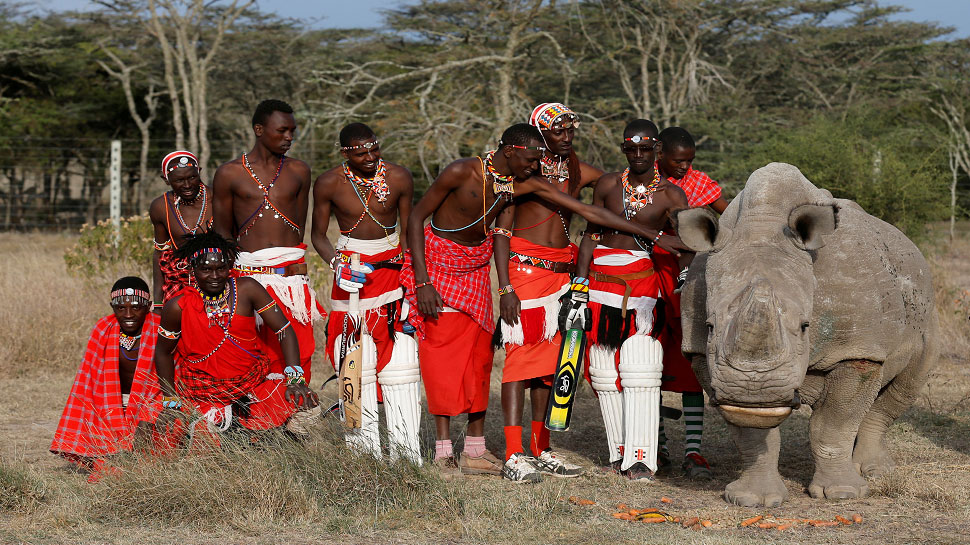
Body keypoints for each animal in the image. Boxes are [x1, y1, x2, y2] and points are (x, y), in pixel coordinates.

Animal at [676, 162, 932, 506]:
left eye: (805, 327)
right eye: (710, 326)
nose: (753, 393)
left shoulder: (857, 349)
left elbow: (832, 425)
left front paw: (842, 494)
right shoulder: (701, 352)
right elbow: (752, 435)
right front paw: (751, 499)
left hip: (922, 305)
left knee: (907, 383)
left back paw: (874, 473)